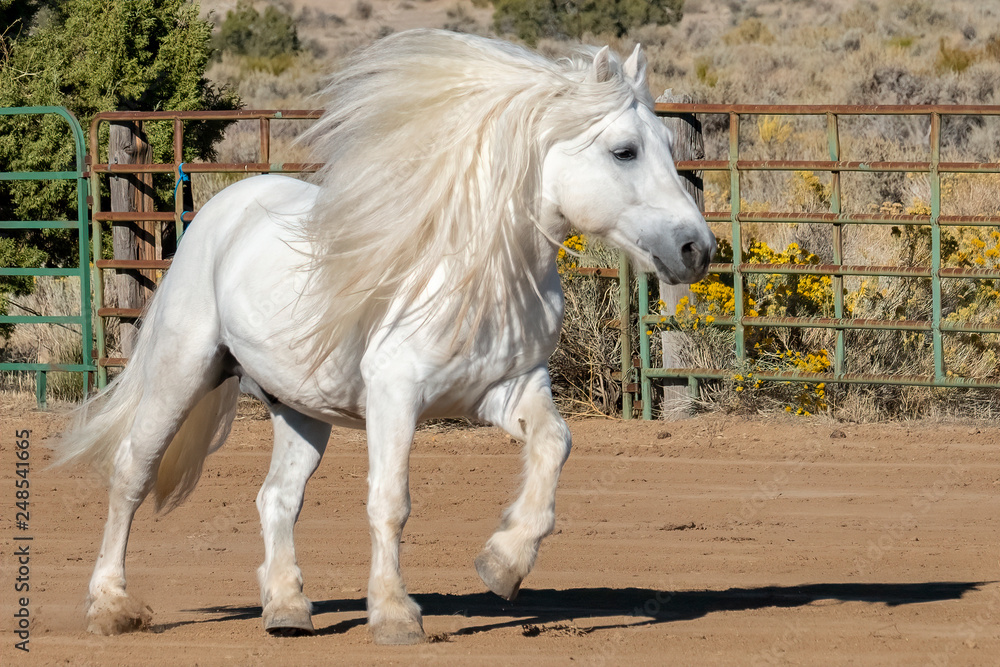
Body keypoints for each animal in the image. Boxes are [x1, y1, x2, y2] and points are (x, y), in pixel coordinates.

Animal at [57, 29, 715, 645]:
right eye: (624, 151)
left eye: (668, 146)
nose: (696, 248)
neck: (480, 273)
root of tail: (223, 209)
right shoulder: (395, 396)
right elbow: (390, 502)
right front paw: (397, 614)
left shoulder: (508, 388)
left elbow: (555, 444)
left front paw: (503, 563)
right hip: (183, 371)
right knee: (132, 472)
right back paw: (111, 607)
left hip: (299, 409)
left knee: (276, 497)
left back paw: (287, 608)